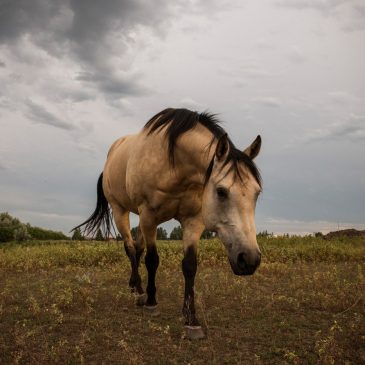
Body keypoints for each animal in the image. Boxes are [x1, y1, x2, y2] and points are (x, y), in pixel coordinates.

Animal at [73, 107, 262, 338]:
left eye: (257, 193)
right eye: (221, 191)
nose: (250, 259)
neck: (175, 165)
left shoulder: (193, 220)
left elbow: (189, 265)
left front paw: (191, 319)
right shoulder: (149, 216)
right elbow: (152, 260)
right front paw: (152, 303)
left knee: (137, 249)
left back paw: (136, 287)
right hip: (121, 211)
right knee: (130, 249)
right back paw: (139, 292)